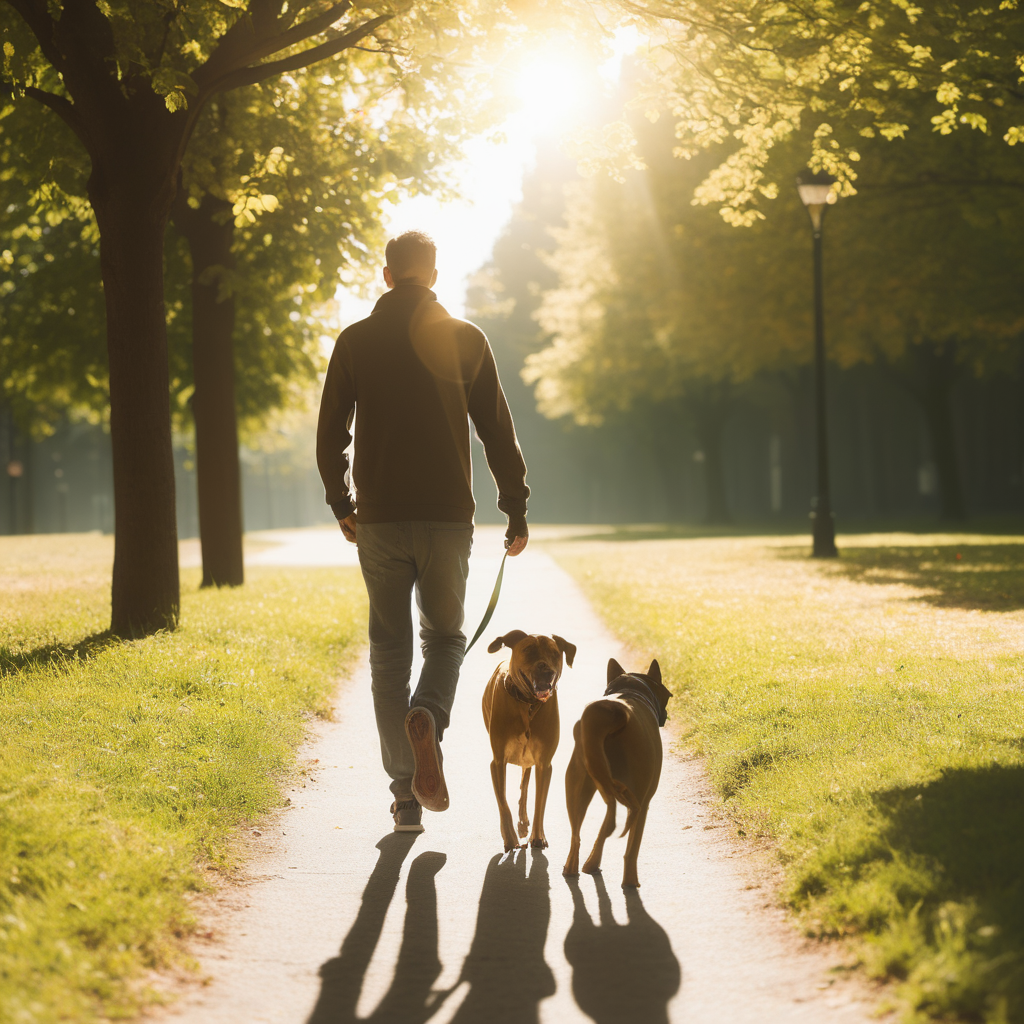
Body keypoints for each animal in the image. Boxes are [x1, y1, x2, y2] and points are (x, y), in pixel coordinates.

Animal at [481, 626, 577, 851]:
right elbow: (503, 803)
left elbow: (540, 802)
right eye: (529, 650)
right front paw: (509, 838)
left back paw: (525, 820)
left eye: (554, 653)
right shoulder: (497, 761)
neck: (527, 703)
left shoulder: (544, 763)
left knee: (525, 783)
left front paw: (537, 836)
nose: (547, 670)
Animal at [561, 655, 671, 888]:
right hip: (637, 797)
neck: (630, 691)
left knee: (578, 834)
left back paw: (575, 868)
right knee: (627, 844)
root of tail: (615, 714)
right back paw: (630, 881)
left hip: (578, 781)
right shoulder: (644, 799)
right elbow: (631, 845)